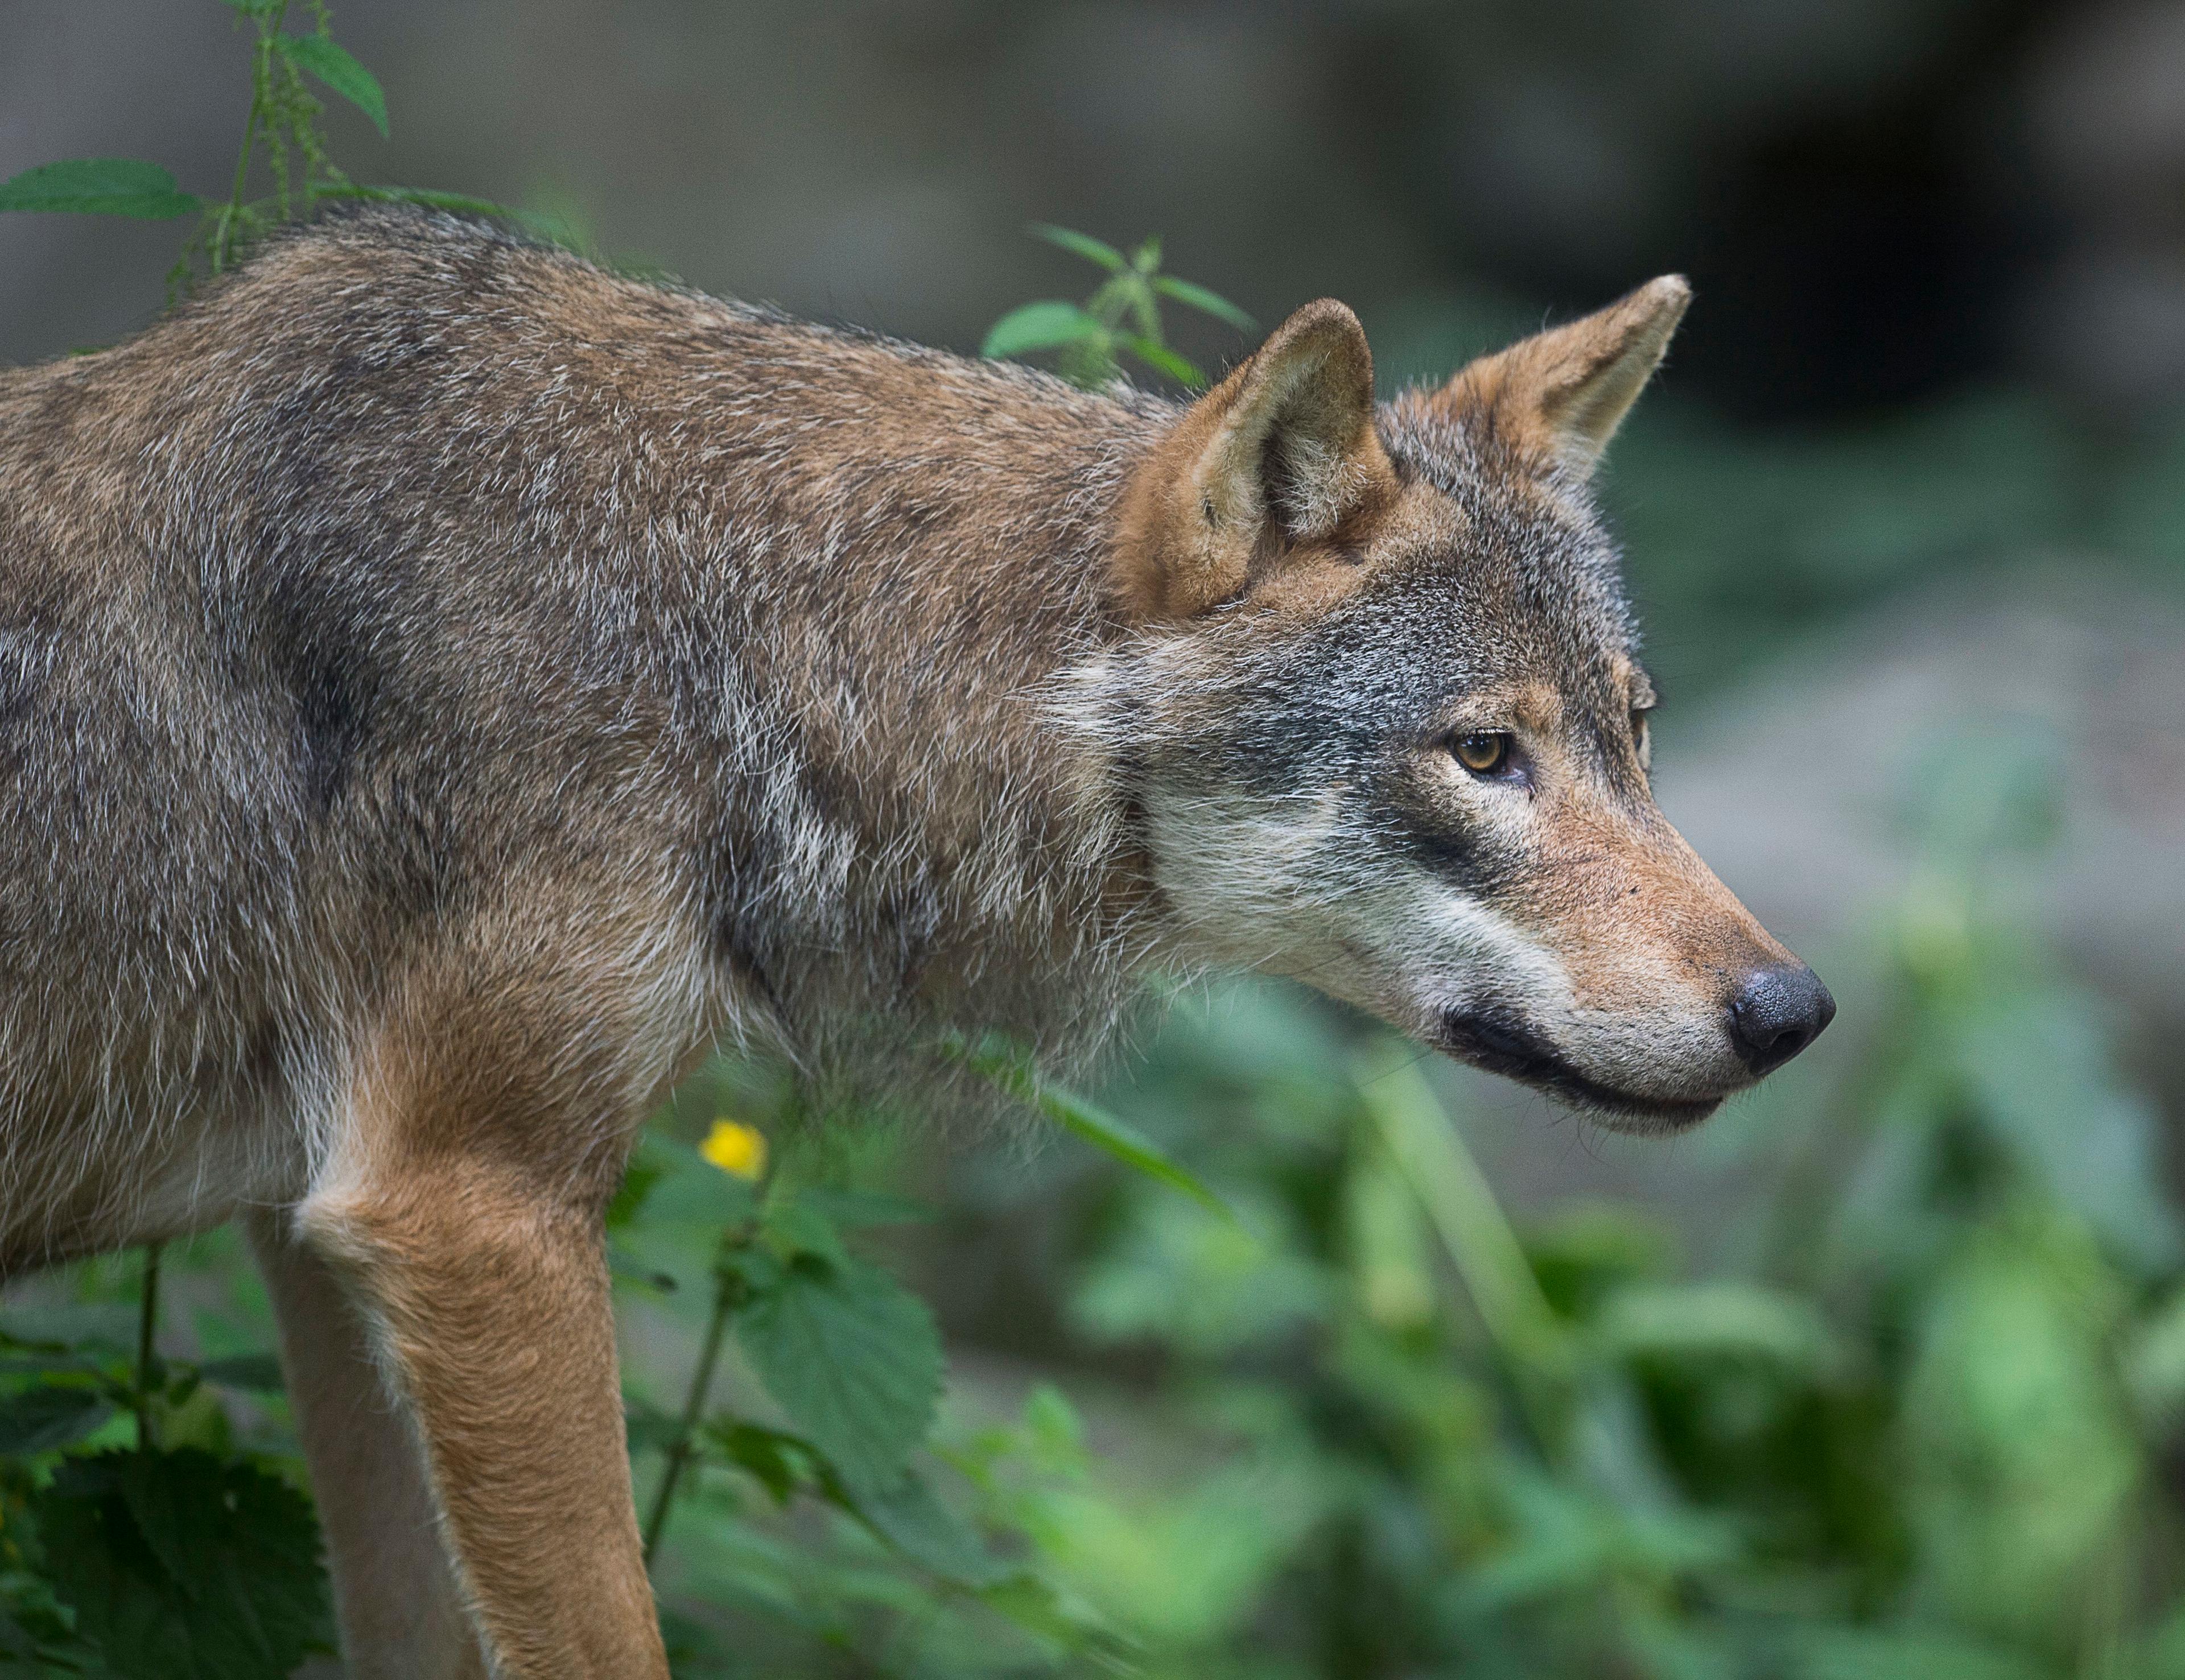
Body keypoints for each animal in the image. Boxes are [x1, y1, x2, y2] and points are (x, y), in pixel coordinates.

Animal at [0, 213, 1827, 1678]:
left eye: (1636, 731)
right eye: (1483, 754)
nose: (1794, 1010)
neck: (726, 627)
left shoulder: (323, 1234)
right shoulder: (466, 1206)